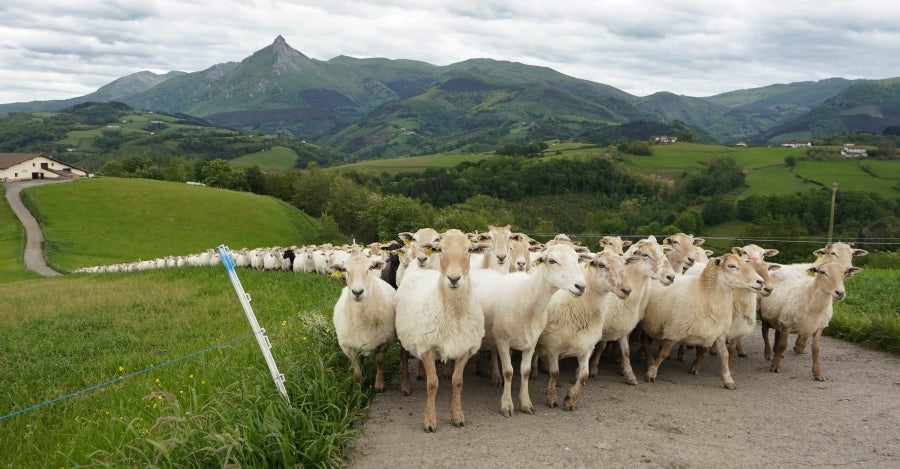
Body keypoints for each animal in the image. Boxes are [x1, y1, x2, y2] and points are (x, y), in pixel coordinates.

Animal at [328, 252, 396, 392]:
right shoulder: (347, 347)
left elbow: (379, 361)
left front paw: (379, 384)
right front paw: (358, 389)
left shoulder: (385, 341)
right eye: (344, 270)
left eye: (370, 267)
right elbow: (356, 370)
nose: (357, 292)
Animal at [394, 228, 486, 432]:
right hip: (405, 335)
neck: (454, 314)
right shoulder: (427, 348)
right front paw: (429, 421)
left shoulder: (465, 349)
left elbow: (458, 382)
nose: (453, 278)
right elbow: (432, 384)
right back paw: (405, 385)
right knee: (403, 356)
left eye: (469, 249)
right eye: (440, 249)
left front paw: (457, 416)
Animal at [468, 239, 596, 414]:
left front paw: (526, 403)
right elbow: (509, 372)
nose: (581, 286)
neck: (527, 300)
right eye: (552, 261)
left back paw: (494, 376)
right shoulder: (503, 340)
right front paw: (507, 405)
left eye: (577, 260)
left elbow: (525, 371)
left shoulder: (531, 343)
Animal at [536, 250, 636, 408]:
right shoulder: (553, 345)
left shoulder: (587, 346)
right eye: (601, 265)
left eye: (624, 264)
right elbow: (555, 372)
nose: (627, 290)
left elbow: (584, 375)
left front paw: (571, 399)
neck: (580, 307)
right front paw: (551, 397)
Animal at [640, 252, 768, 388]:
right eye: (731, 266)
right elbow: (664, 353)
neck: (705, 294)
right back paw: (649, 360)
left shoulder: (719, 332)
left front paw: (728, 380)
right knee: (644, 341)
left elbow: (725, 355)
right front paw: (651, 373)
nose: (760, 281)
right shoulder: (674, 332)